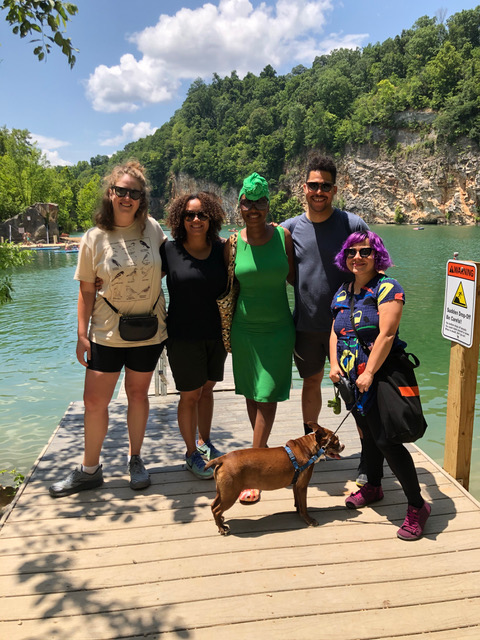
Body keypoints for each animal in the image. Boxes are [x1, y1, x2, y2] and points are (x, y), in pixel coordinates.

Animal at [204, 420, 344, 536]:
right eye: (336, 442)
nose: (343, 446)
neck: (308, 447)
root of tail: (222, 458)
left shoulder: (296, 485)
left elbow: (298, 501)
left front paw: (297, 511)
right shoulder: (302, 486)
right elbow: (303, 505)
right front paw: (308, 519)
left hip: (223, 492)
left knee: (213, 505)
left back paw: (220, 522)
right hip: (230, 494)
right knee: (216, 509)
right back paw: (222, 528)